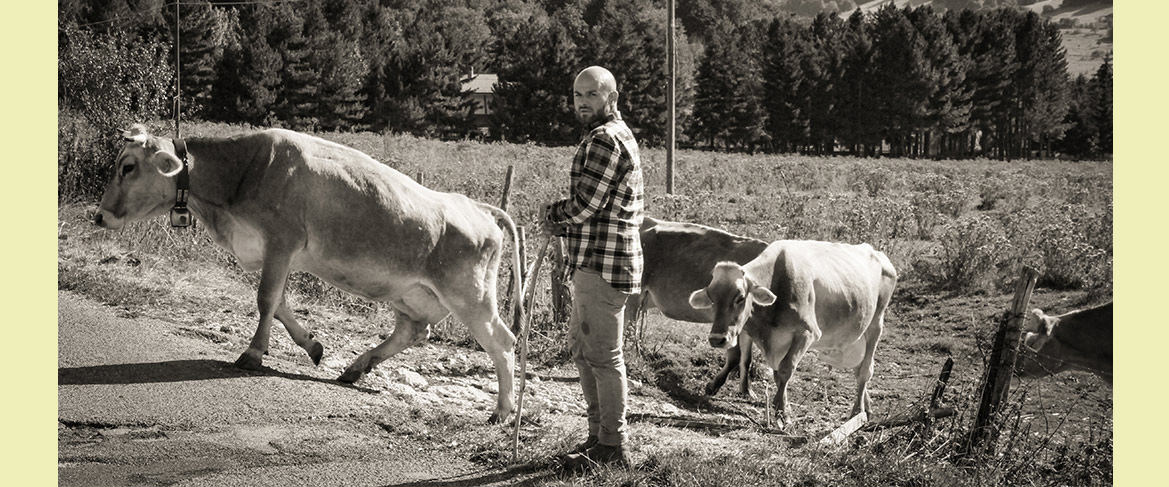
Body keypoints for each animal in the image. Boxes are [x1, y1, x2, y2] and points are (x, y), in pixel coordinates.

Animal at [631, 218, 766, 397]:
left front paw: (746, 390)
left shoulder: (747, 324)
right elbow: (735, 357)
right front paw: (713, 386)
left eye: (741, 298)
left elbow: (747, 358)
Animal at [682, 240, 893, 425]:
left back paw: (857, 412)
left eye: (740, 297)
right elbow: (753, 364)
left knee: (865, 370)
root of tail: (876, 252)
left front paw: (783, 413)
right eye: (711, 297)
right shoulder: (757, 333)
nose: (717, 339)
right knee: (858, 368)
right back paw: (867, 408)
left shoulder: (806, 333)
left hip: (876, 323)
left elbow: (785, 369)